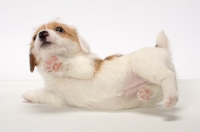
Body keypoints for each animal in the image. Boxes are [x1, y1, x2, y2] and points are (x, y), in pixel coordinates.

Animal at [22, 21, 179, 110]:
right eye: (35, 37)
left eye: (59, 29)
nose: (42, 34)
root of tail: (162, 48)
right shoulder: (57, 98)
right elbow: (41, 93)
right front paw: (28, 94)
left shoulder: (86, 67)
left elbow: (70, 64)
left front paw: (57, 63)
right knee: (158, 86)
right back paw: (147, 92)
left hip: (140, 63)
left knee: (168, 76)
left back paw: (171, 98)